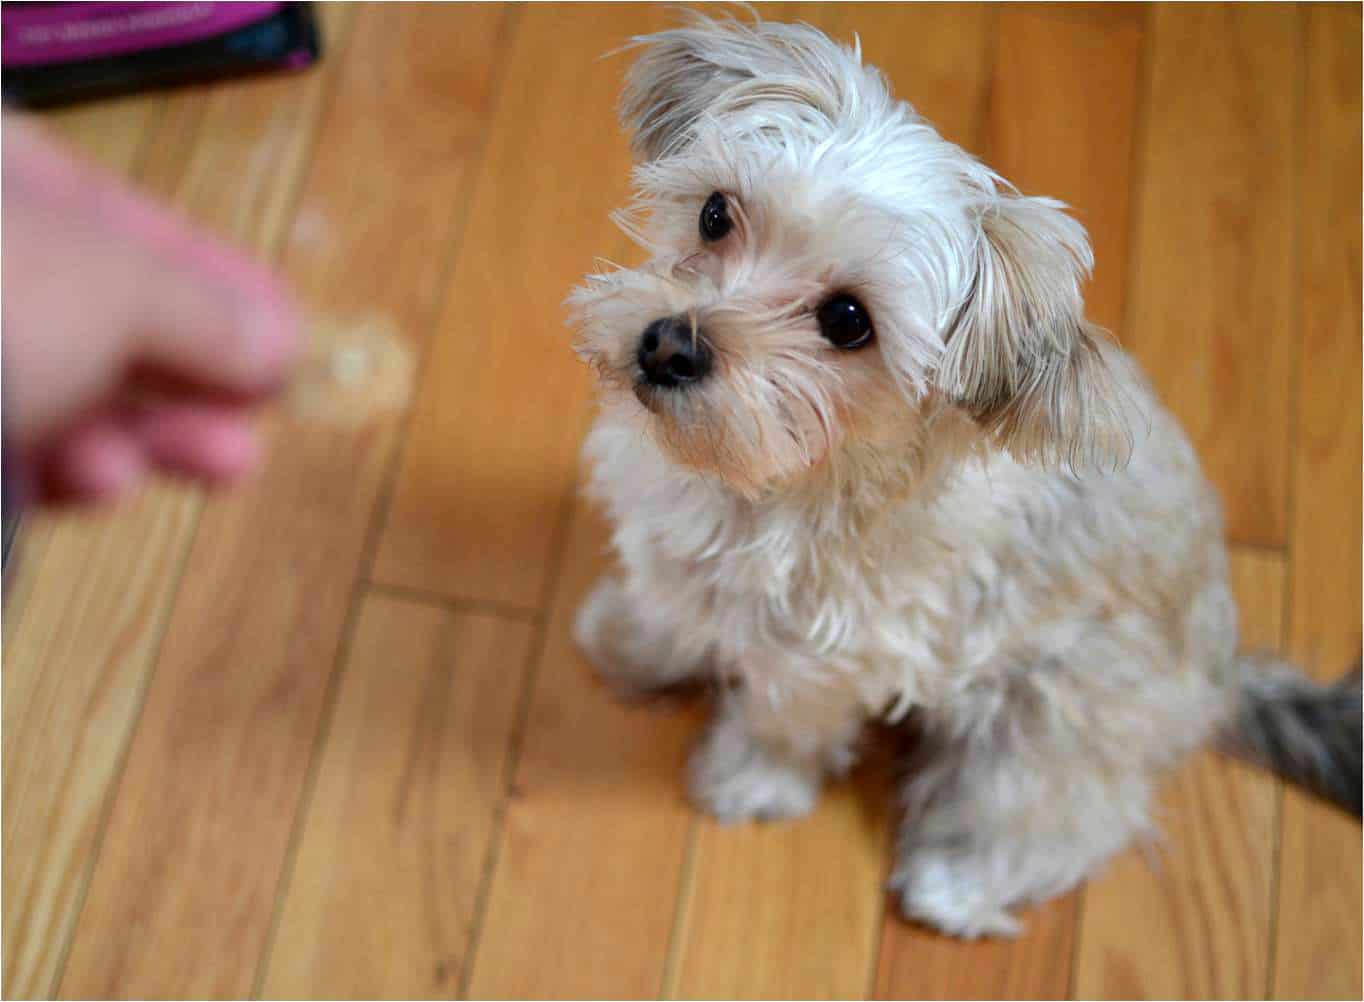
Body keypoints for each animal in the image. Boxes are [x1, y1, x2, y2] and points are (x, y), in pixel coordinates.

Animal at [564, 17, 1353, 937]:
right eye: (716, 213)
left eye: (848, 320)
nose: (668, 345)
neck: (782, 482)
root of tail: (1224, 673)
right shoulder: (683, 557)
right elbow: (670, 605)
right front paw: (628, 642)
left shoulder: (830, 655)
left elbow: (783, 721)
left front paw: (749, 781)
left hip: (1046, 718)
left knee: (1073, 818)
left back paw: (958, 883)